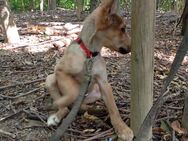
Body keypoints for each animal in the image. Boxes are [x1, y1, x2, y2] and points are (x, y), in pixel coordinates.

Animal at [46, 0, 133, 140]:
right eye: (122, 29)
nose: (132, 47)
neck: (89, 54)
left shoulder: (104, 83)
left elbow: (114, 108)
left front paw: (122, 128)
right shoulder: (60, 70)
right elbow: (73, 92)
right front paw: (60, 101)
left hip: (96, 93)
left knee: (80, 105)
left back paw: (95, 110)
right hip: (50, 79)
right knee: (67, 107)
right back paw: (57, 114)